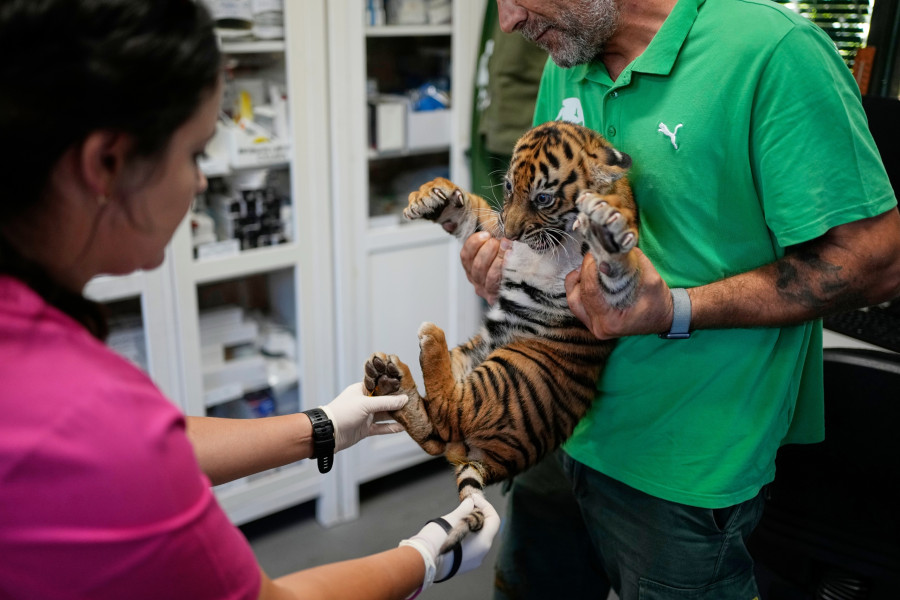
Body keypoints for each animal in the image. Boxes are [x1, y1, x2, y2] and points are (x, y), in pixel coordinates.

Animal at [363, 120, 640, 550]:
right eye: (508, 186)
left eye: (543, 198)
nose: (512, 232)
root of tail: (496, 463)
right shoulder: (496, 232)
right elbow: (472, 212)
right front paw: (433, 194)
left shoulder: (609, 300)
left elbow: (615, 267)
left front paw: (605, 226)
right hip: (475, 355)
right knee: (438, 434)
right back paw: (389, 377)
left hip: (513, 373)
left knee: (450, 413)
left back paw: (427, 341)